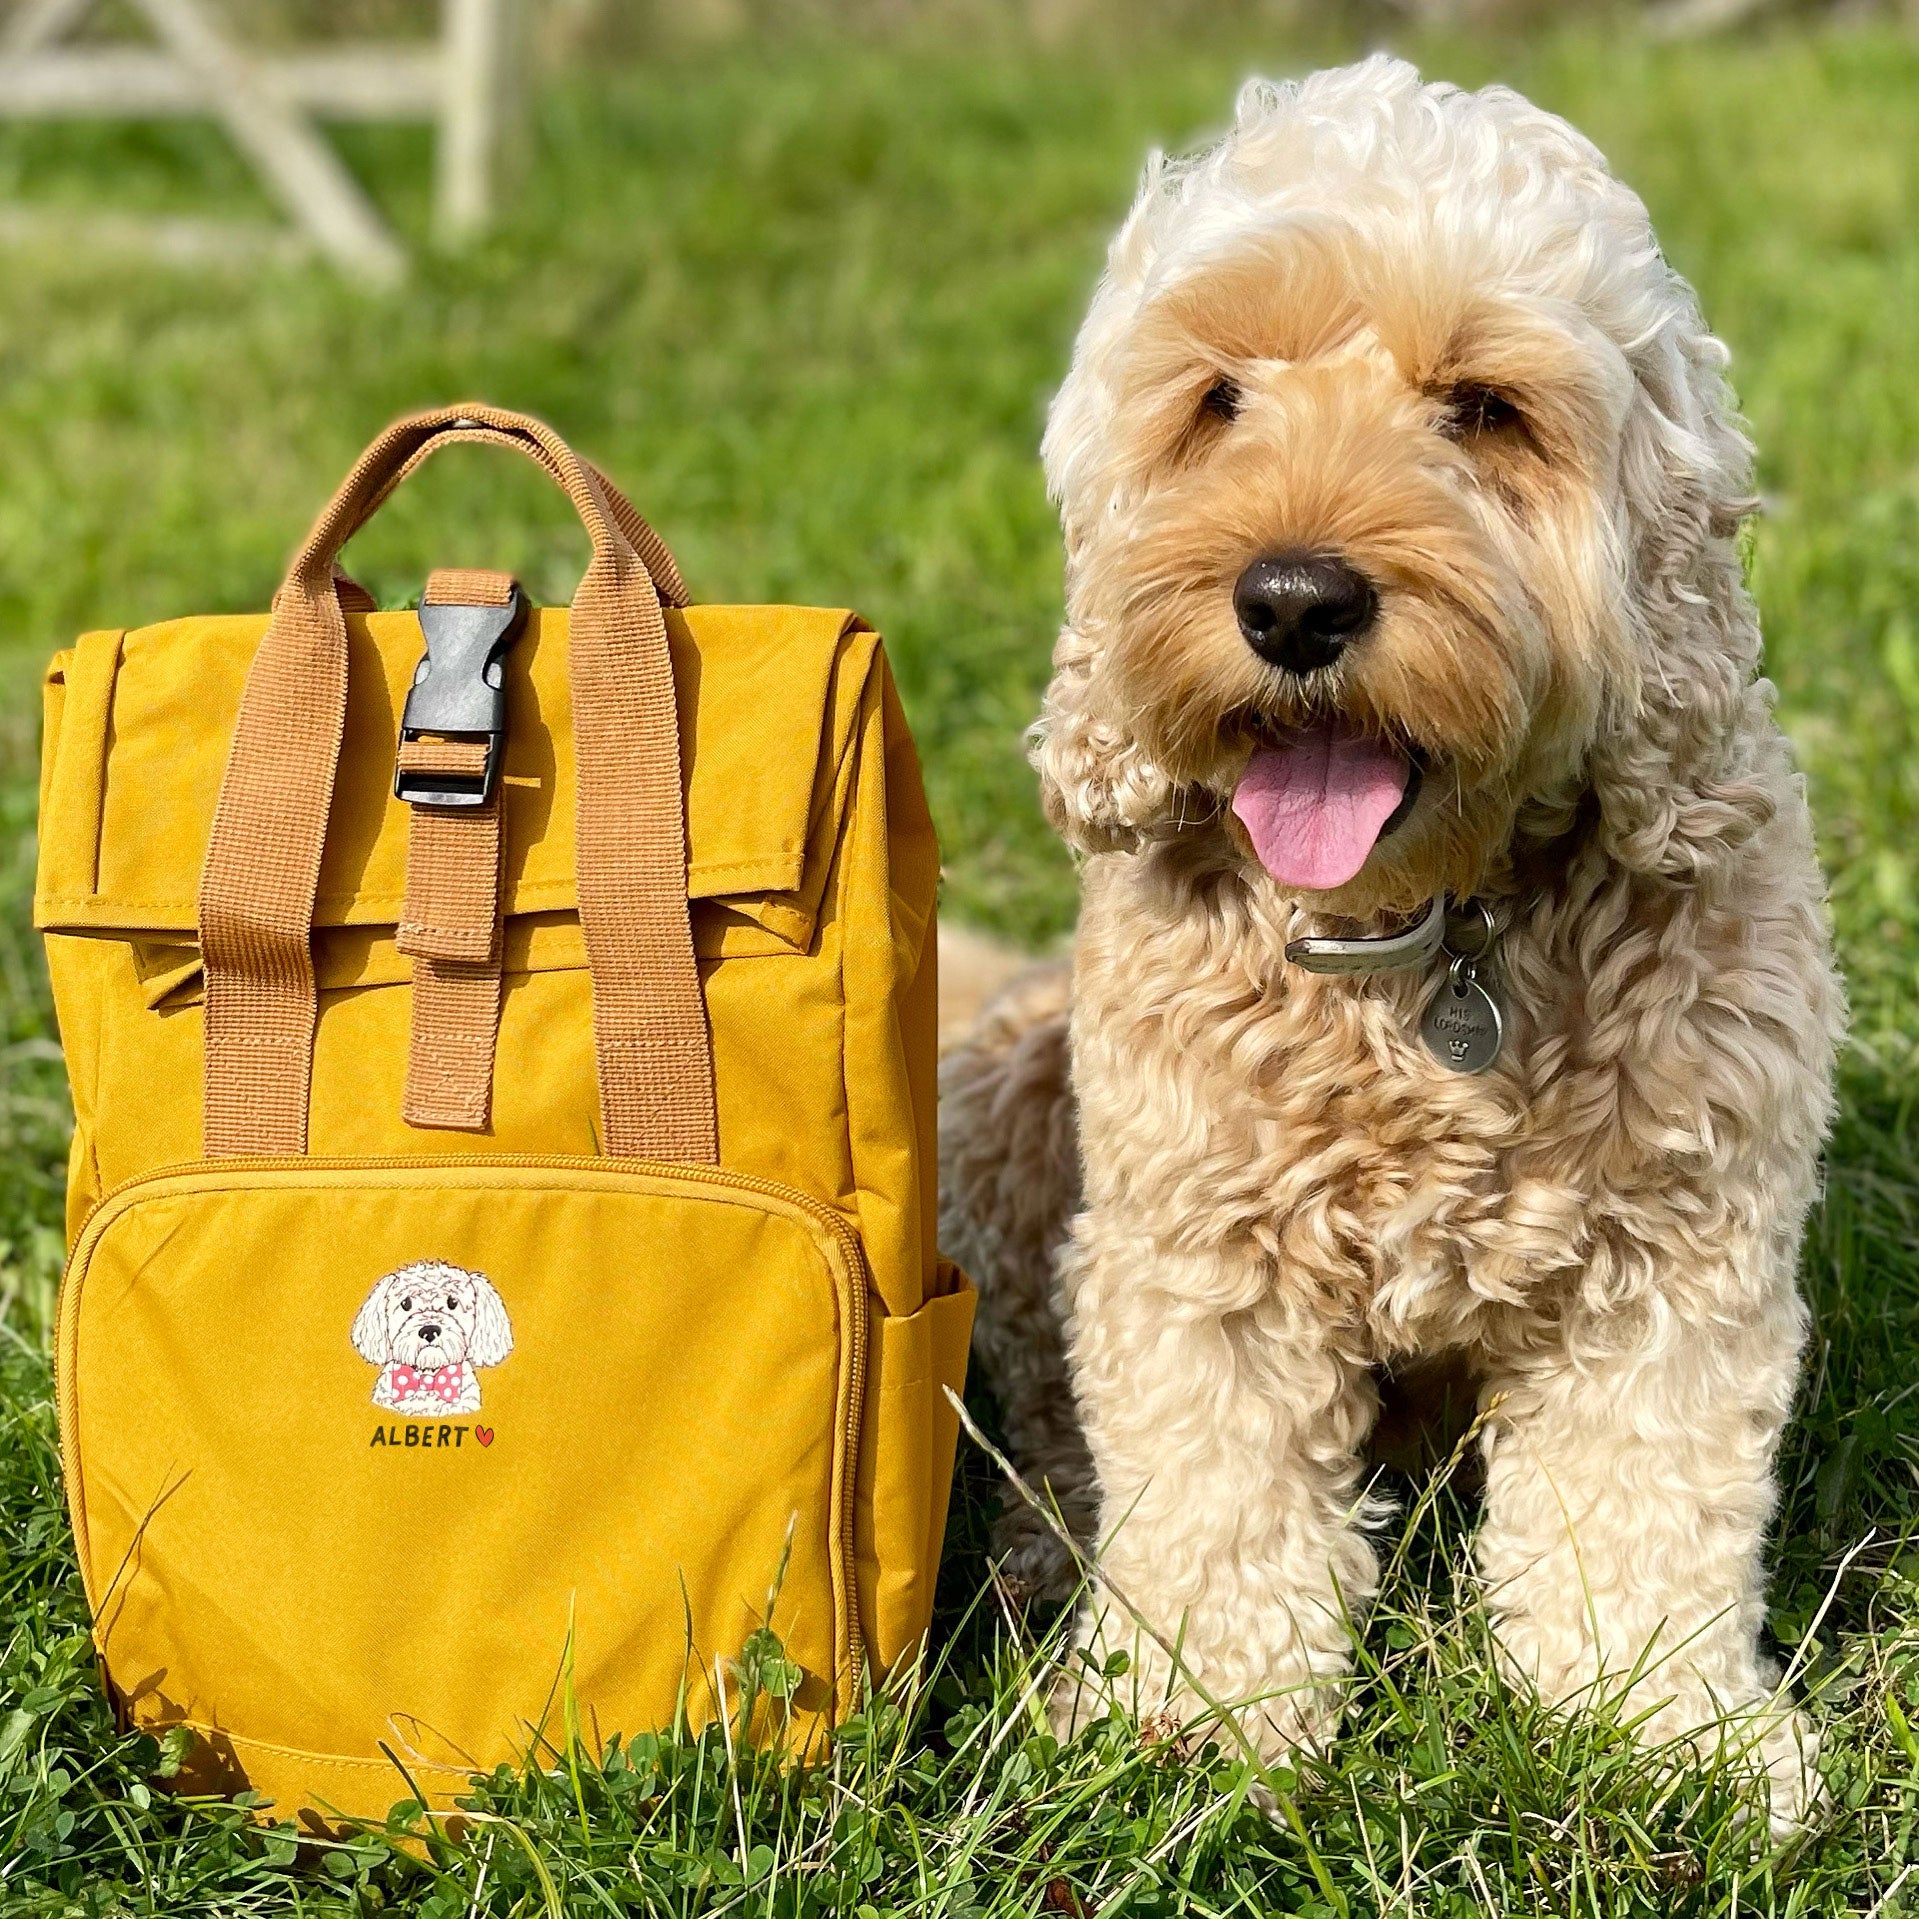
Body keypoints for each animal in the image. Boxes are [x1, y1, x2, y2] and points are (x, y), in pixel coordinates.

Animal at [944, 56, 1842, 1826]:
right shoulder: (1197, 1249)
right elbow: (1213, 1497)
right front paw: (1192, 1716)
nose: (1292, 599)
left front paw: (1670, 1725)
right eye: (1218, 398)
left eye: (1482, 407)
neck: (1419, 938)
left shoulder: (1671, 1259)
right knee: (1044, 1420)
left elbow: (1641, 1504)